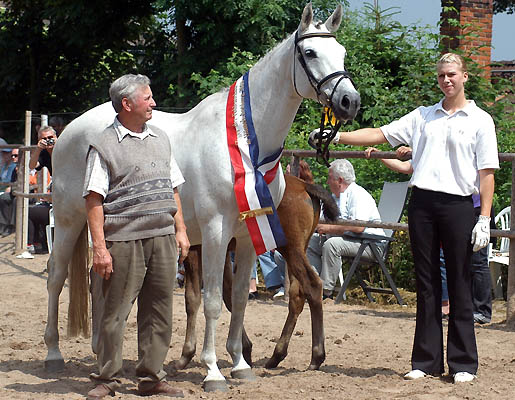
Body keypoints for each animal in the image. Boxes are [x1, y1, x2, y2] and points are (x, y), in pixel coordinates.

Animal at [43, 2, 358, 390]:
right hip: (69, 220)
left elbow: (237, 300)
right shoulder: (214, 233)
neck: (245, 145)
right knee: (56, 276)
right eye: (310, 52)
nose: (349, 101)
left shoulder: (248, 236)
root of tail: (68, 131)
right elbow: (210, 301)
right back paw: (54, 354)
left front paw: (240, 364)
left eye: (342, 53)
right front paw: (212, 371)